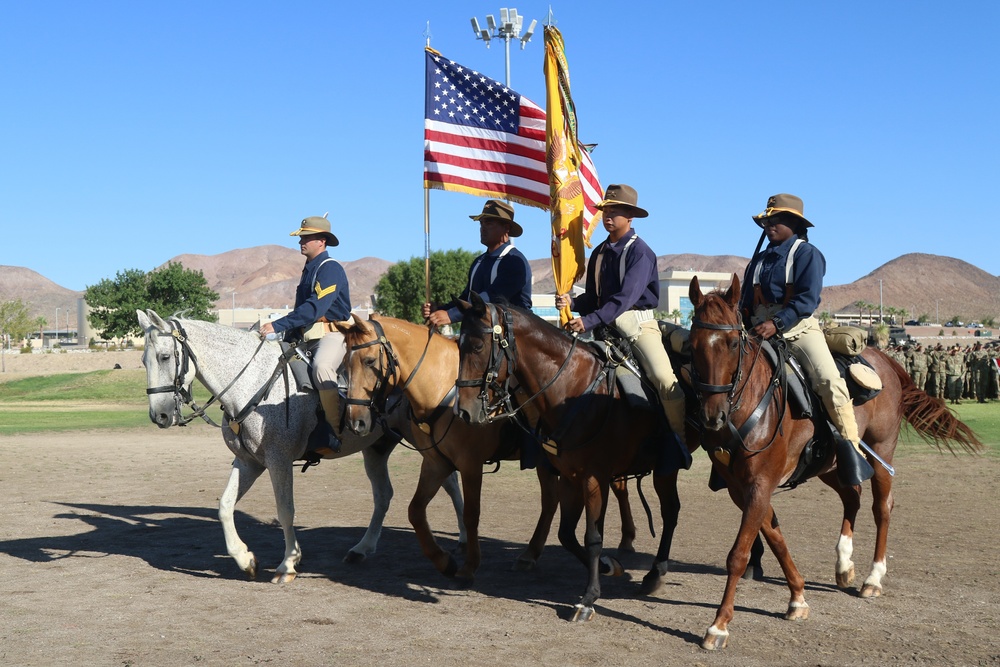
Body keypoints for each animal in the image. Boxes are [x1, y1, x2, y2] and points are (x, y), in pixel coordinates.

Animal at [137, 310, 464, 580]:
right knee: (384, 494)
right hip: (376, 447)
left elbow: (285, 510)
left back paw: (462, 536)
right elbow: (224, 506)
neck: (254, 383)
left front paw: (288, 563)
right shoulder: (248, 462)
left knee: (450, 482)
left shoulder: (278, 461)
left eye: (165, 357)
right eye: (144, 361)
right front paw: (244, 559)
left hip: (423, 441)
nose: (159, 415)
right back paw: (362, 548)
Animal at [332, 314, 636, 584]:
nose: (356, 421)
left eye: (370, 361)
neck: (443, 388)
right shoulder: (435, 462)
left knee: (605, 489)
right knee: (553, 501)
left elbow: (471, 513)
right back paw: (532, 554)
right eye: (343, 365)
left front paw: (469, 566)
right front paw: (443, 561)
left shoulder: (470, 464)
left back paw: (625, 540)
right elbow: (415, 510)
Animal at [454, 294, 696, 624]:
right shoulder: (570, 477)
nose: (464, 412)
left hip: (666, 468)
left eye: (478, 346)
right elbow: (567, 535)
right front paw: (608, 566)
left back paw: (656, 573)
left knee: (671, 512)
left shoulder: (594, 478)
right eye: (458, 345)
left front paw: (588, 598)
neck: (573, 387)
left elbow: (592, 537)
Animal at [688, 274, 984, 648]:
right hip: (830, 464)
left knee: (881, 507)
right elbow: (775, 537)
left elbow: (739, 555)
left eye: (730, 343)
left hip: (880, 452)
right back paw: (844, 564)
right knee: (851, 498)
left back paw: (873, 578)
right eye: (692, 344)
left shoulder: (759, 485)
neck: (752, 401)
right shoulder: (741, 489)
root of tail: (885, 359)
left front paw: (719, 625)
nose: (712, 417)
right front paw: (798, 597)